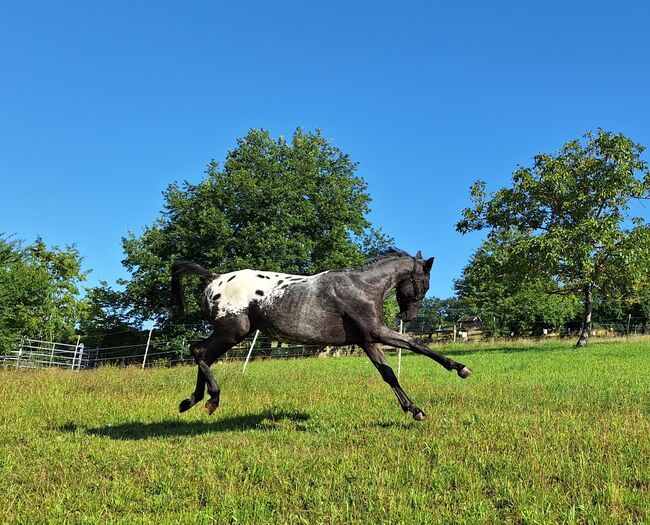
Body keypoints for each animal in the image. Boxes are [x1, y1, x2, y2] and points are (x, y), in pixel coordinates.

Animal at [170, 248, 468, 420]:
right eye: (424, 284)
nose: (409, 317)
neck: (361, 286)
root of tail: (214, 279)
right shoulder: (377, 332)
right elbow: (417, 345)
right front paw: (461, 368)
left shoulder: (366, 340)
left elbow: (388, 374)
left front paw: (414, 410)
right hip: (233, 331)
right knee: (199, 352)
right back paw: (212, 399)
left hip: (230, 333)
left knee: (202, 354)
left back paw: (191, 401)